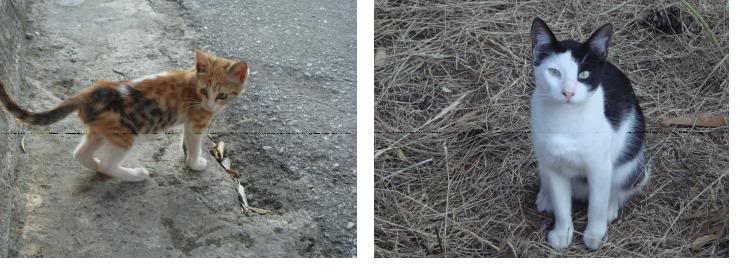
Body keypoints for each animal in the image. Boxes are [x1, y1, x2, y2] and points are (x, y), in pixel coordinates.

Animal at [0, 49, 250, 182]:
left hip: (102, 130)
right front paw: (195, 162)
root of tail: (87, 93)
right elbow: (196, 142)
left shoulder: (190, 120)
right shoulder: (198, 119)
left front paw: (186, 153)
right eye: (204, 91)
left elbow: (186, 138)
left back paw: (95, 164)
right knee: (109, 164)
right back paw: (134, 174)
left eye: (222, 95)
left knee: (81, 153)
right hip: (124, 132)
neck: (192, 81)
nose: (210, 104)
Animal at [528, 17, 652, 250]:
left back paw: (611, 207)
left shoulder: (599, 167)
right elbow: (561, 204)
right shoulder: (555, 166)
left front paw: (595, 234)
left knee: (618, 187)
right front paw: (562, 233)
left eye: (583, 74)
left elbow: (597, 205)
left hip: (631, 164)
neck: (566, 120)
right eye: (554, 72)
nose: (568, 93)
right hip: (543, 157)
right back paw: (546, 197)